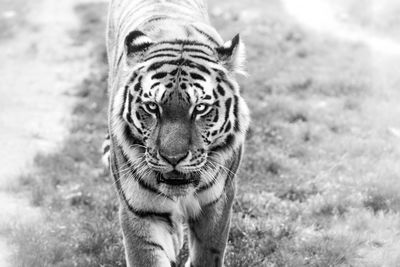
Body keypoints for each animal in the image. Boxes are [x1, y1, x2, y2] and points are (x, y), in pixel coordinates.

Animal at [106, 0, 250, 266]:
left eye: (200, 108)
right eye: (152, 107)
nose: (173, 158)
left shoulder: (217, 203)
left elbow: (207, 254)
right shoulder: (139, 210)